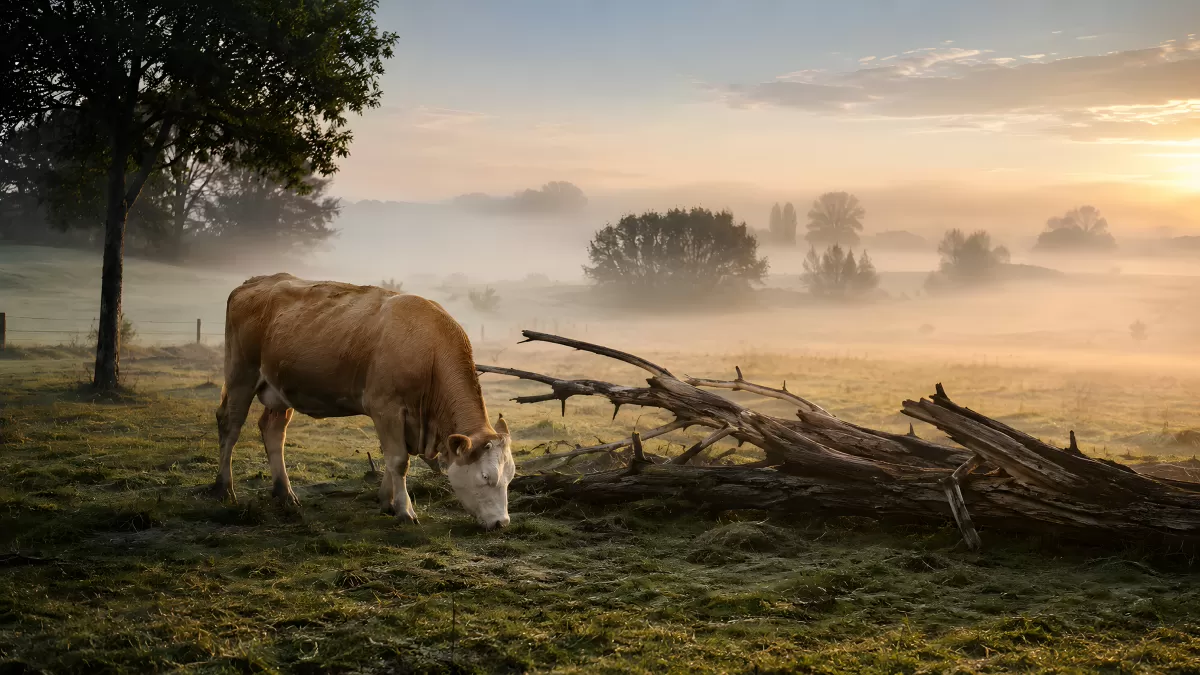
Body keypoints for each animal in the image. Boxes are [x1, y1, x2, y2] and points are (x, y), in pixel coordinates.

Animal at [211, 273, 515, 530]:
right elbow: (398, 460)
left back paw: (285, 493)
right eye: (486, 476)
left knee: (273, 431)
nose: (502, 522)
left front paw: (387, 502)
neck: (429, 351)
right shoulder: (386, 407)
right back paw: (224, 488)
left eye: (510, 476)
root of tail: (254, 281)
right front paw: (405, 511)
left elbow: (392, 458)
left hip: (278, 388)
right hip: (241, 374)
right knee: (230, 425)